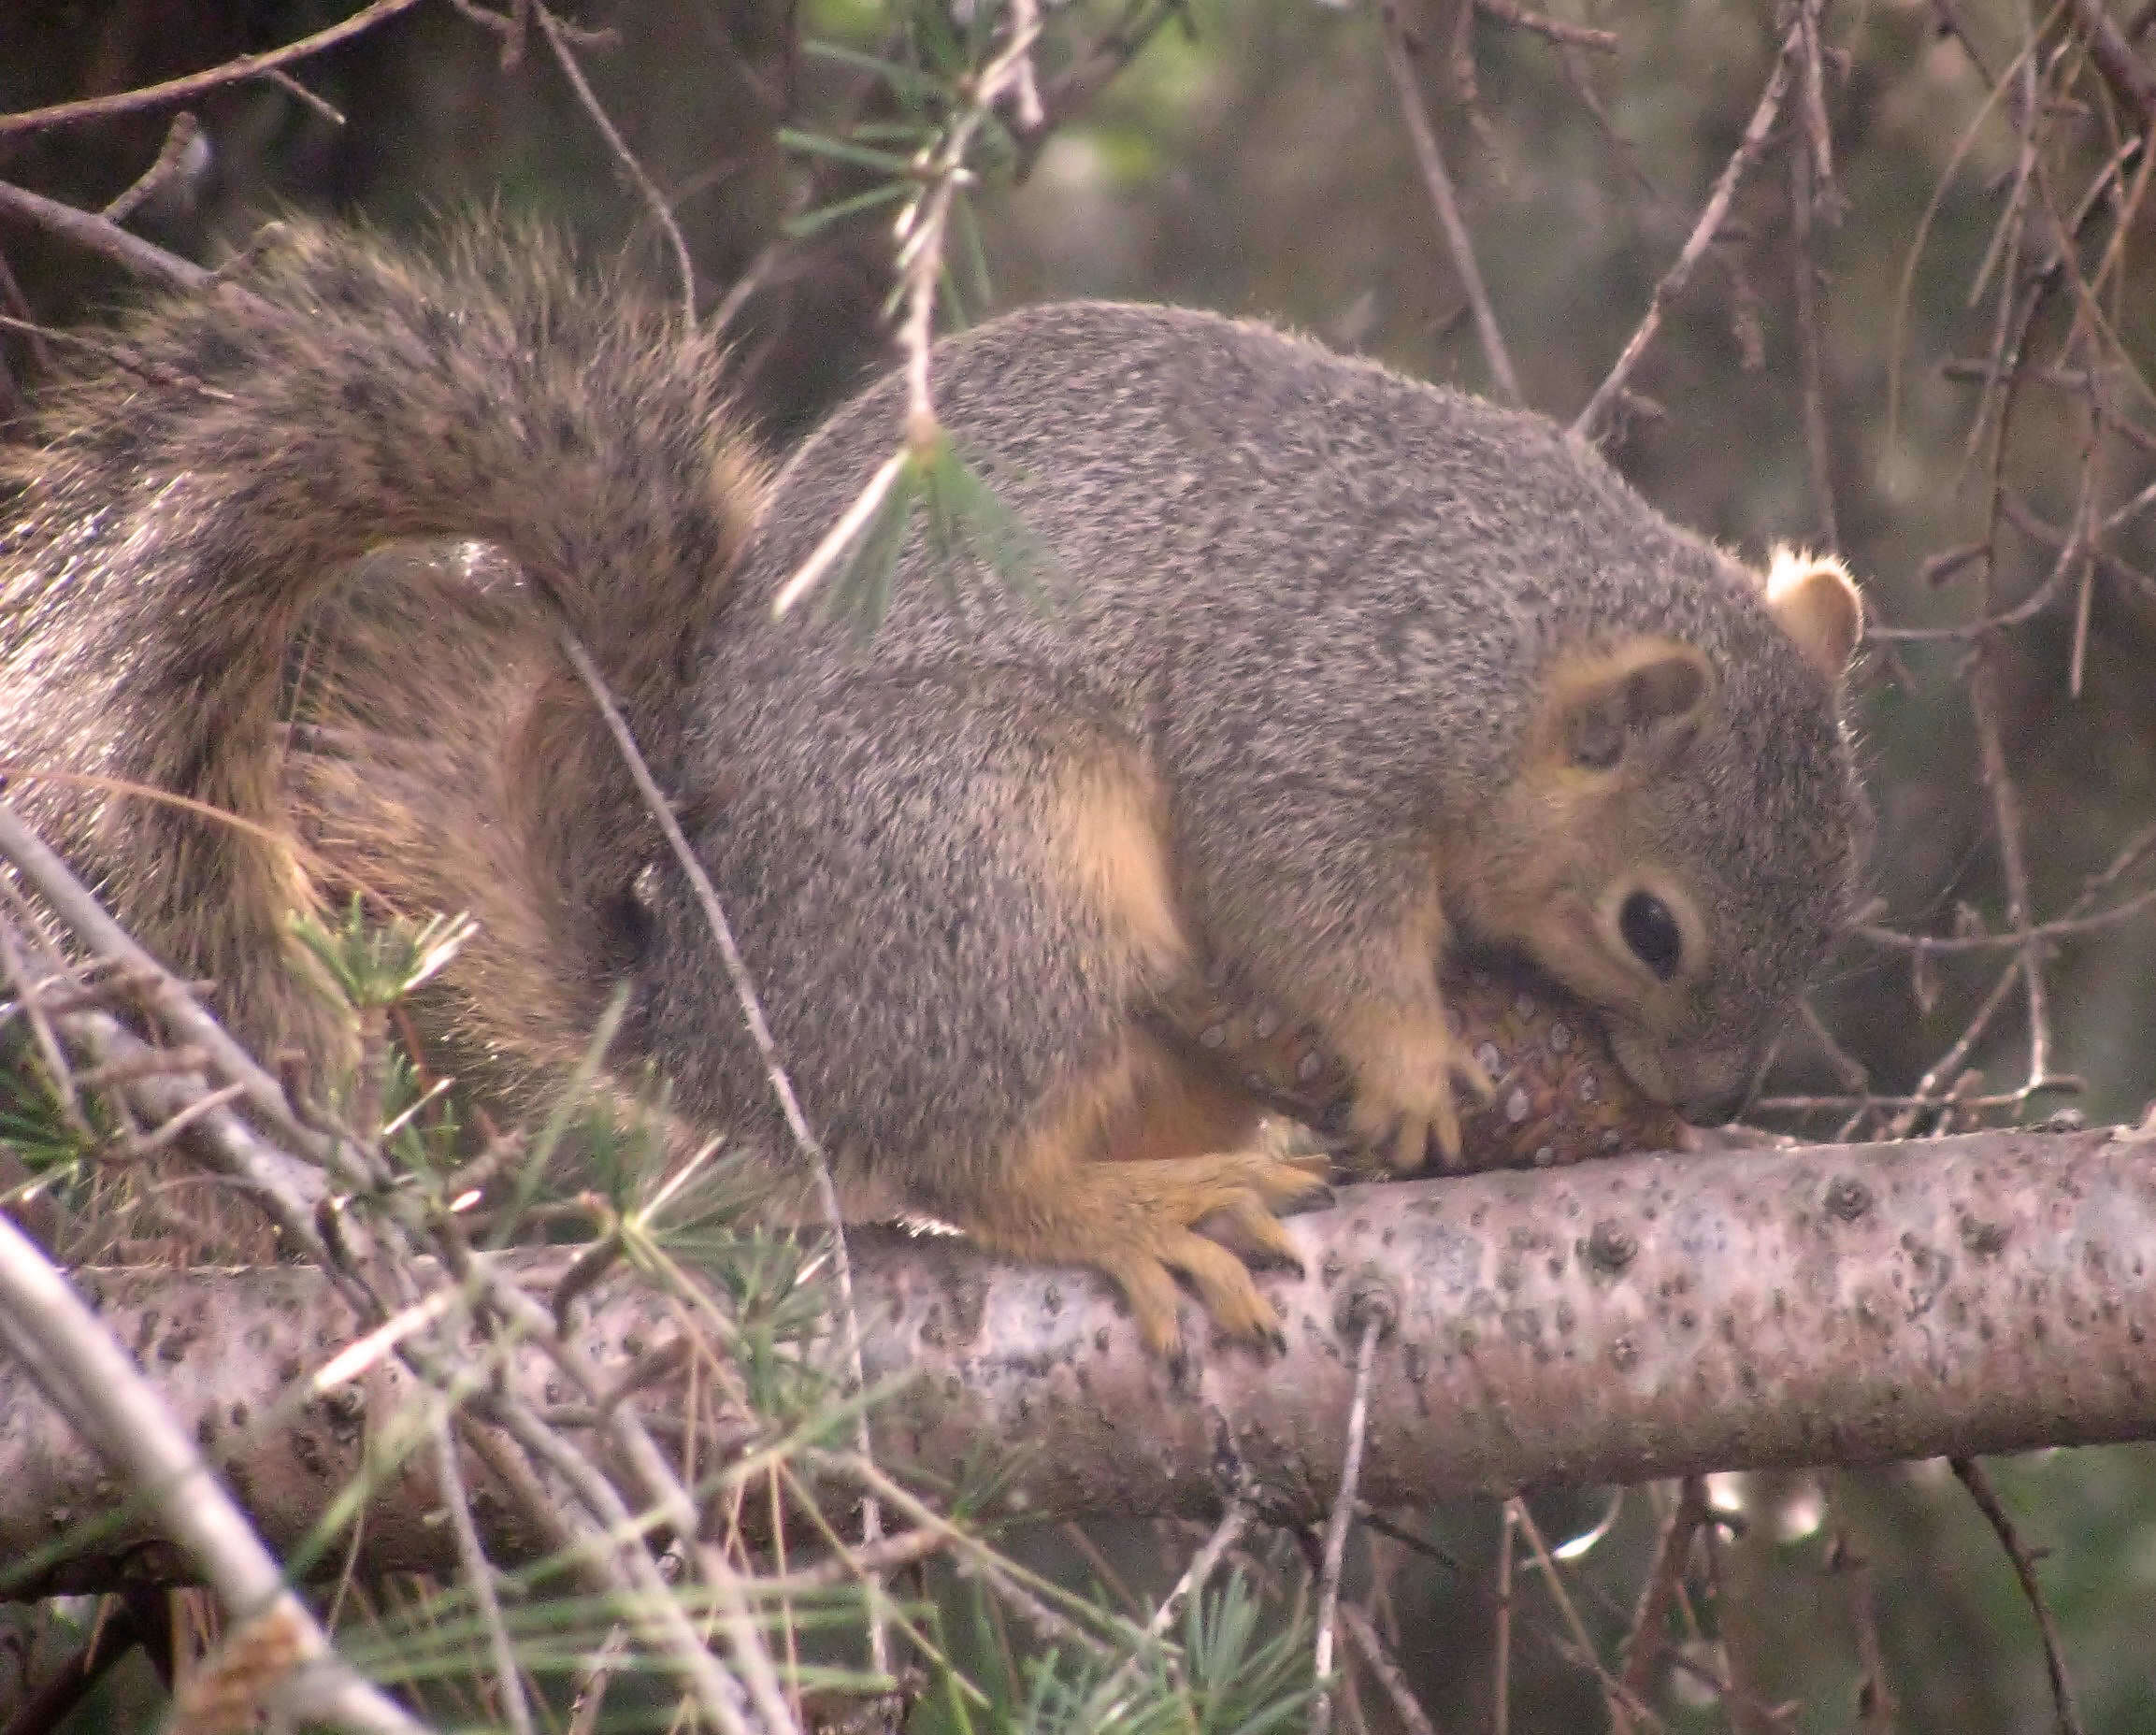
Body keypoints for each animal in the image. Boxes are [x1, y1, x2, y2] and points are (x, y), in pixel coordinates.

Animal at [0, 220, 1871, 1353]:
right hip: (991, 858)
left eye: (1836, 899)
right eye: (1651, 928)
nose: (1709, 1094)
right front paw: (1411, 1058)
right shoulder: (1309, 724)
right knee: (971, 1164)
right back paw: (1131, 1213)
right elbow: (1306, 900)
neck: (1507, 622)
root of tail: (713, 1022)